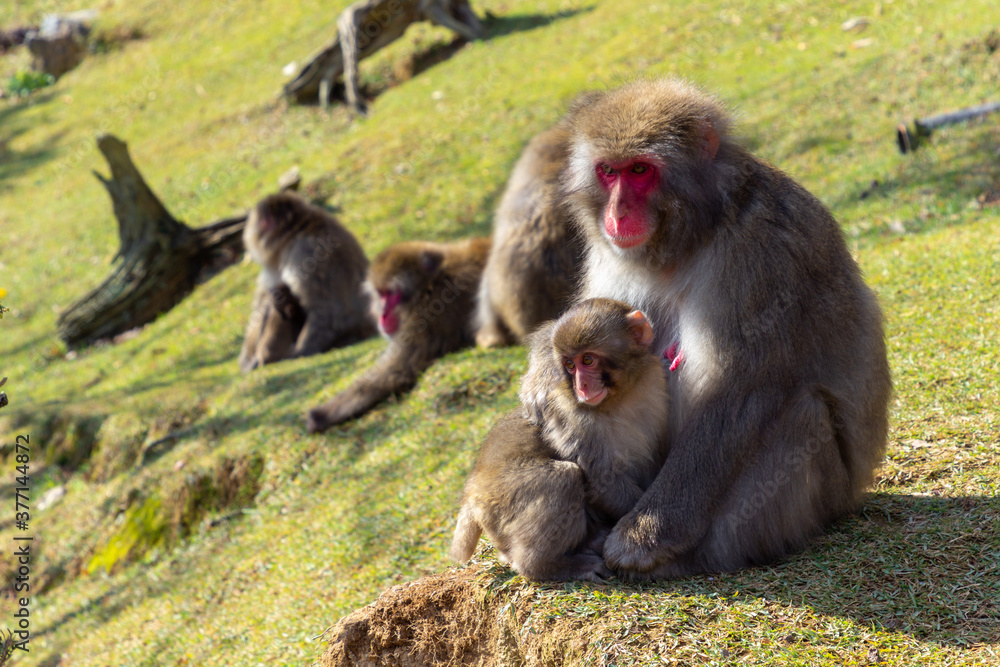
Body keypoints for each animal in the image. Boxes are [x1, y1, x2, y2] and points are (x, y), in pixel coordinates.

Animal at [239, 192, 376, 371]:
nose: (247, 233)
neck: (294, 234)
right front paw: (245, 359)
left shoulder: (305, 251)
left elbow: (328, 310)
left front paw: (301, 352)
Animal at [306, 237, 490, 432]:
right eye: (381, 294)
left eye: (391, 294)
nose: (382, 314)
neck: (430, 285)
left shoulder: (430, 315)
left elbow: (396, 373)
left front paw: (322, 415)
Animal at [451, 298, 669, 582]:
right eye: (570, 366)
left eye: (587, 359)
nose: (581, 386)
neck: (621, 398)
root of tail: (472, 493)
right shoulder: (572, 416)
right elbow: (602, 478)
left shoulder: (654, 382)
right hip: (497, 504)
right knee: (564, 478)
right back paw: (548, 566)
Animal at [548, 78, 892, 579]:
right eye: (608, 171)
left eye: (640, 170)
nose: (617, 213)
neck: (693, 233)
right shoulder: (609, 254)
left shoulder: (763, 251)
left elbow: (744, 388)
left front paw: (646, 535)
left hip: (817, 497)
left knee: (798, 412)